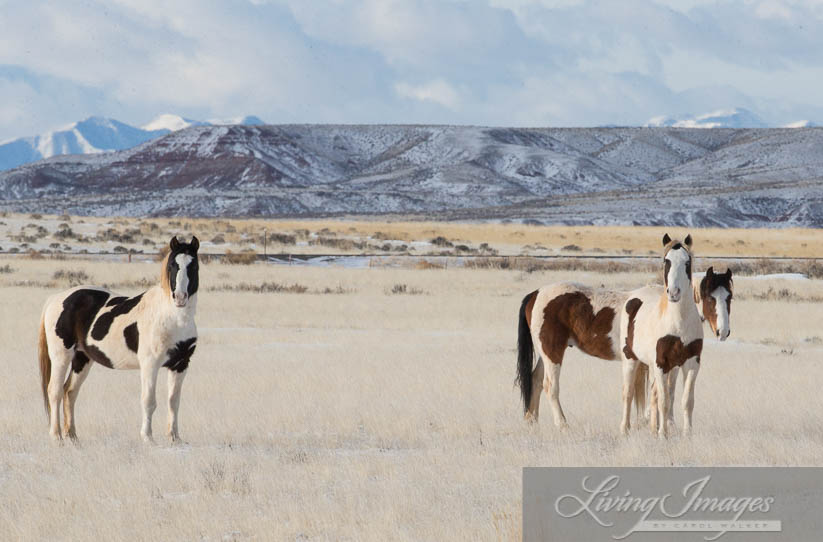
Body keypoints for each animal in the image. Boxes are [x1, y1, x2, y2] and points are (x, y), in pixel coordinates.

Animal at [38, 237, 200, 442]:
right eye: (172, 265)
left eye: (193, 265)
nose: (180, 297)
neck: (172, 317)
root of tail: (55, 299)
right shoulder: (150, 364)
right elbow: (149, 401)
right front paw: (148, 438)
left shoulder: (180, 365)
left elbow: (174, 402)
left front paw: (174, 438)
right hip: (61, 355)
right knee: (55, 391)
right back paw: (56, 437)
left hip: (82, 358)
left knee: (70, 391)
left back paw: (73, 437)